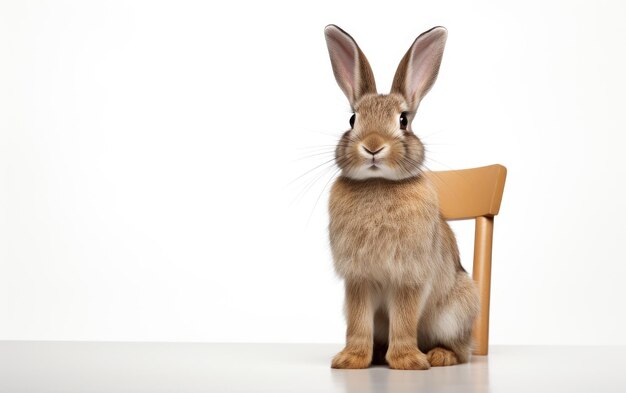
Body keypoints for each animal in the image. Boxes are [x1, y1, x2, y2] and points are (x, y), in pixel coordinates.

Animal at [322, 26, 478, 370]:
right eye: (353, 120)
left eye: (403, 120)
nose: (373, 146)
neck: (378, 183)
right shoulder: (358, 278)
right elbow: (358, 323)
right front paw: (350, 360)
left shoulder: (409, 276)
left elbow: (405, 320)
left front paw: (408, 362)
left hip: (454, 312)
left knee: (461, 351)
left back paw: (438, 356)